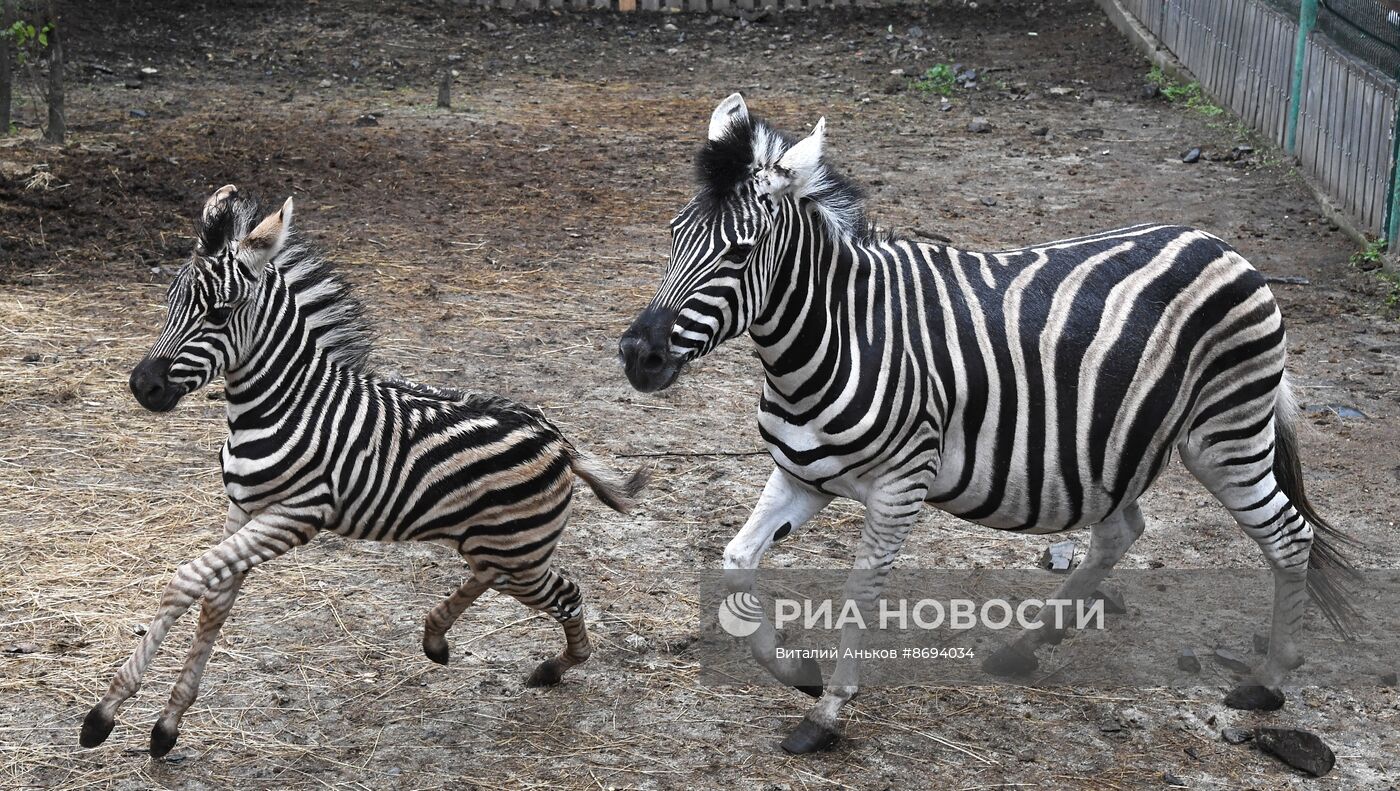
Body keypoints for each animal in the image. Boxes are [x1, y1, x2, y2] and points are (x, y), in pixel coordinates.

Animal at [86, 182, 649, 756]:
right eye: (170, 301)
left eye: (219, 315)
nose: (143, 386)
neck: (284, 403)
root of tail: (559, 439)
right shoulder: (242, 508)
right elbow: (215, 604)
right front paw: (167, 723)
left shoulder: (294, 515)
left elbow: (186, 581)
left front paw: (106, 711)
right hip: (498, 545)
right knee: (493, 575)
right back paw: (437, 637)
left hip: (519, 552)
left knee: (566, 593)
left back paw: (556, 667)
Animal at [616, 93, 1355, 750]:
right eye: (674, 234)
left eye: (739, 254)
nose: (637, 355)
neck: (836, 337)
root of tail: (1226, 247)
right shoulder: (800, 474)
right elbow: (737, 564)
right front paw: (798, 672)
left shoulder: (900, 486)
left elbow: (861, 591)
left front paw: (826, 712)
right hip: (1117, 442)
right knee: (1121, 530)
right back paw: (1026, 646)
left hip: (1225, 436)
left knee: (1289, 535)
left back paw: (1268, 682)